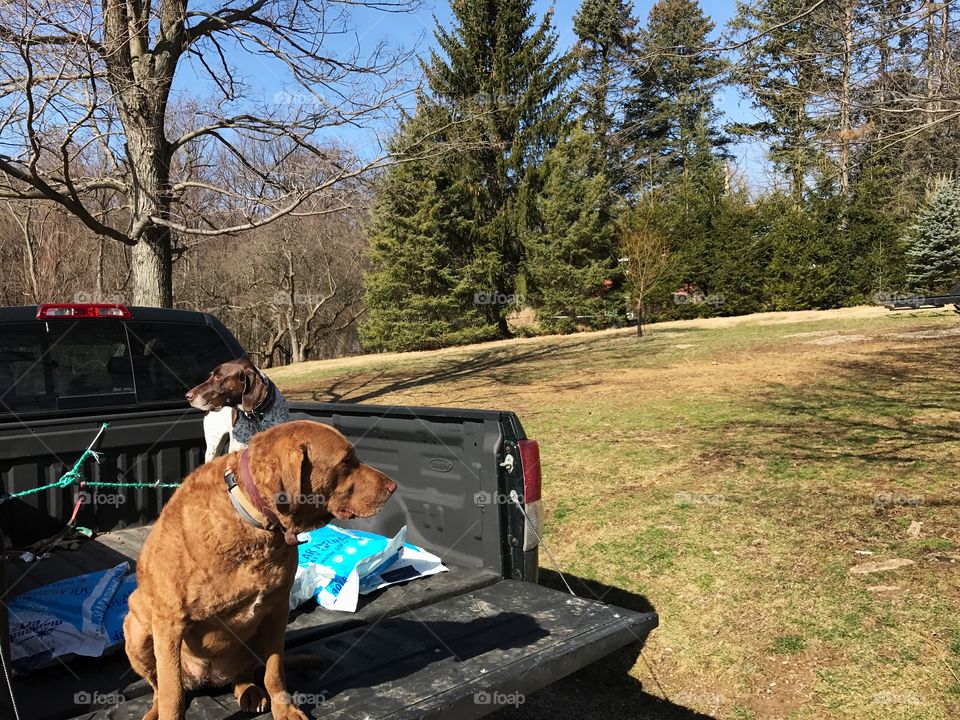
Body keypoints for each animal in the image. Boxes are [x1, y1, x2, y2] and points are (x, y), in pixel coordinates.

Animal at [124, 420, 398, 716]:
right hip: (137, 627)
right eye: (347, 460)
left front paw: (285, 710)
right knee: (160, 687)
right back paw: (155, 709)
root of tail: (207, 680)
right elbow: (172, 693)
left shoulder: (277, 609)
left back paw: (250, 691)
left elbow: (275, 671)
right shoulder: (169, 622)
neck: (255, 523)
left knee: (244, 674)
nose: (393, 486)